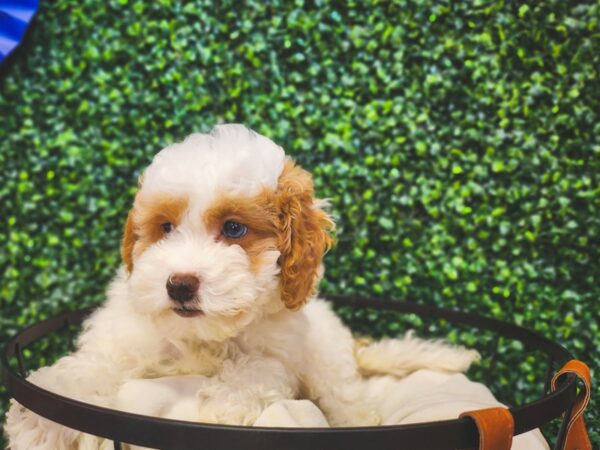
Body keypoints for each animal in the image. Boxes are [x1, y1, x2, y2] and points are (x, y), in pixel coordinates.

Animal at [4, 124, 548, 450]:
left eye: (234, 229)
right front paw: (39, 417)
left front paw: (219, 412)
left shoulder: (276, 355)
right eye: (164, 227)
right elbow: (84, 371)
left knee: (349, 405)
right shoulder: (125, 340)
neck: (203, 339)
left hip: (330, 370)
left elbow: (252, 374)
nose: (179, 285)